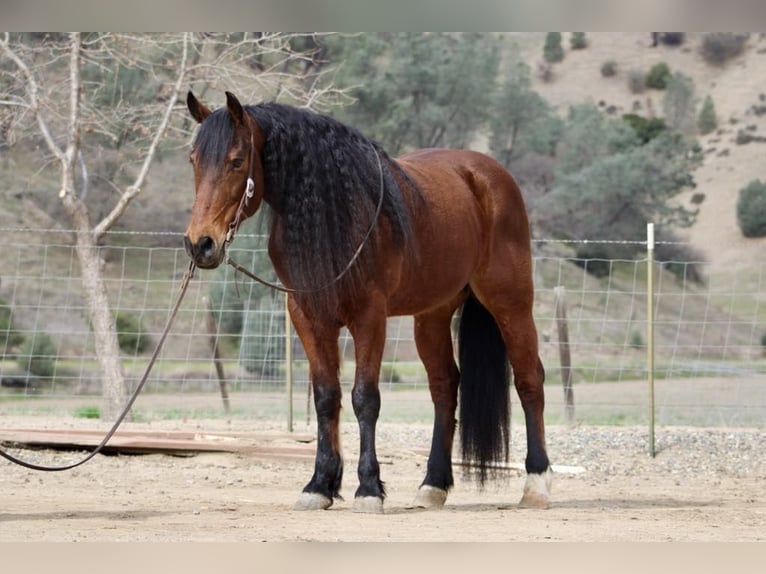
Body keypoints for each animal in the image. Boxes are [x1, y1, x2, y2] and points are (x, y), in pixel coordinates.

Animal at [183, 92, 556, 516]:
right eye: (194, 160)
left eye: (236, 160)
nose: (201, 244)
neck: (335, 215)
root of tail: (488, 174)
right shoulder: (308, 317)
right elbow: (326, 397)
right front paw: (319, 486)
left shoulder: (369, 317)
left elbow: (365, 398)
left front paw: (368, 488)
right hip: (432, 315)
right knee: (445, 387)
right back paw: (432, 485)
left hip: (510, 301)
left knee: (529, 380)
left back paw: (536, 483)